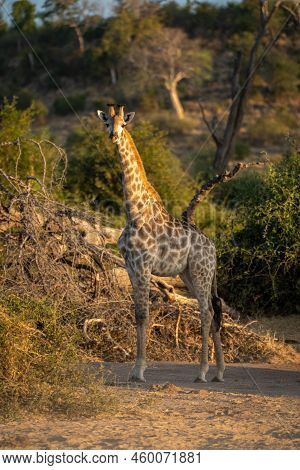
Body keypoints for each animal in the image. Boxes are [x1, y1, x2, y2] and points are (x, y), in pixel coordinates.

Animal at [97, 103, 224, 382]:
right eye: (107, 123)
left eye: (123, 124)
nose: (113, 136)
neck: (133, 212)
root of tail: (213, 249)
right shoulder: (131, 267)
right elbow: (137, 314)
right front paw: (136, 369)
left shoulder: (144, 266)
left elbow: (144, 315)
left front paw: (139, 371)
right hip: (188, 274)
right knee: (213, 309)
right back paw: (219, 372)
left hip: (201, 272)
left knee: (207, 311)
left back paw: (202, 372)